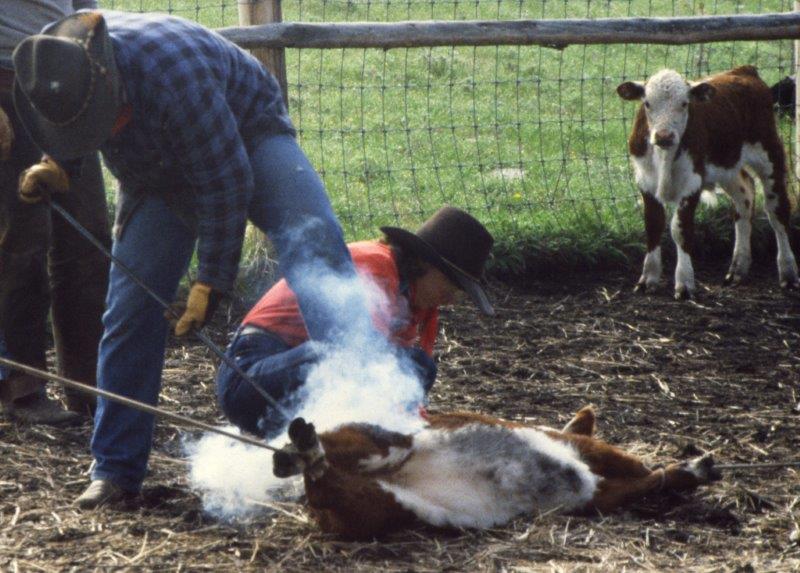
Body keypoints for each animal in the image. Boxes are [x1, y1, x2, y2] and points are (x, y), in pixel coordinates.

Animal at [273, 406, 721, 539]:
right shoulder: (597, 454)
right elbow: (648, 471)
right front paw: (698, 466)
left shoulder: (599, 493)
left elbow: (642, 482)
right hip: (392, 442)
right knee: (326, 459)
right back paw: (298, 445)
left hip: (376, 504)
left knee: (326, 481)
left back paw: (296, 454)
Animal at [617, 66, 799, 299]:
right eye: (647, 103)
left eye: (684, 103)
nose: (664, 136)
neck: (664, 156)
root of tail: (744, 70)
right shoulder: (645, 181)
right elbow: (653, 225)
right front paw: (648, 279)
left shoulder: (692, 183)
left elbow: (680, 229)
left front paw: (684, 283)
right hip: (728, 167)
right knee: (744, 198)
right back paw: (737, 269)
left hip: (770, 153)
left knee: (777, 212)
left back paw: (788, 273)